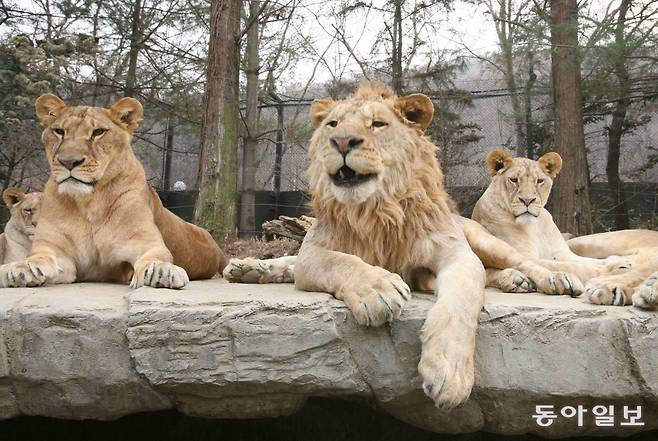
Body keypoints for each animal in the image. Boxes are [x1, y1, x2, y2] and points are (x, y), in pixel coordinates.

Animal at [0, 94, 228, 288]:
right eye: (59, 131)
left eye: (98, 132)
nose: (68, 162)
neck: (89, 203)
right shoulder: (58, 252)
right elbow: (40, 258)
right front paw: (21, 268)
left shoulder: (145, 243)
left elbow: (154, 257)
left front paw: (161, 271)